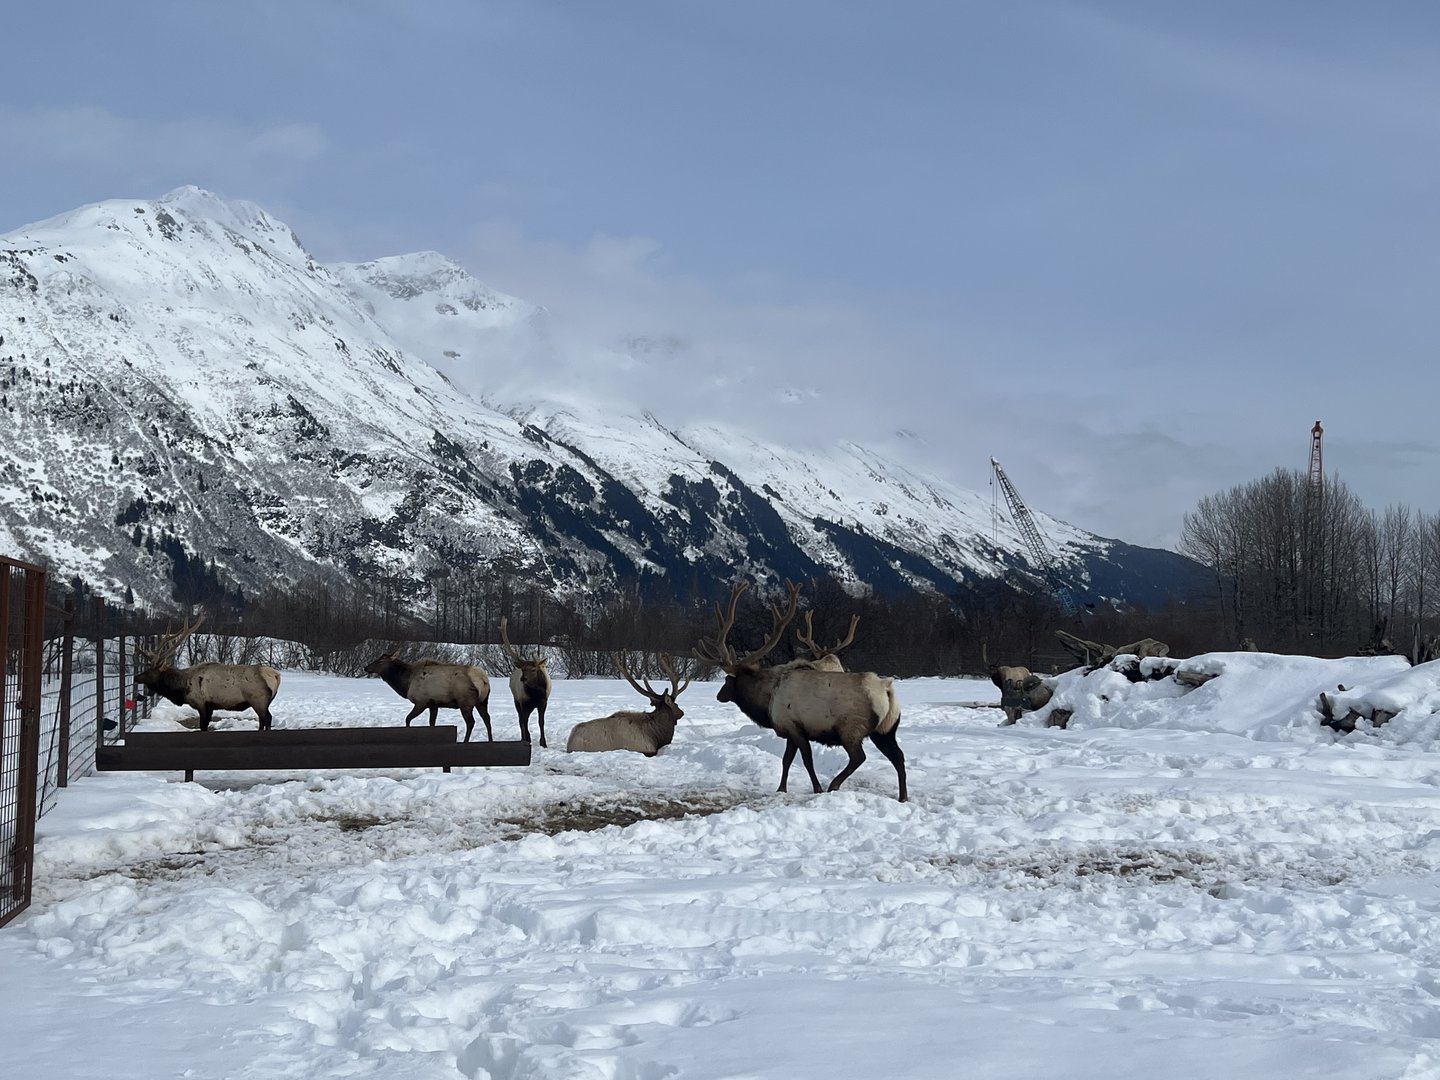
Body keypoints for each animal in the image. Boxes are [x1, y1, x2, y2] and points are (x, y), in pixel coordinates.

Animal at [136, 616, 281, 731]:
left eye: (150, 671)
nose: (136, 677)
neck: (182, 688)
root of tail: (276, 676)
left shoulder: (202, 703)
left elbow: (203, 727)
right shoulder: (210, 706)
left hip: (259, 700)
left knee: (267, 719)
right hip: (263, 701)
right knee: (263, 721)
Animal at [363, 652, 493, 742]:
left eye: (380, 661)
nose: (366, 667)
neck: (406, 683)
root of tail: (483, 679)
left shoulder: (421, 702)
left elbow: (407, 719)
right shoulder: (433, 705)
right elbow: (431, 723)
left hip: (465, 702)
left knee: (471, 722)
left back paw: (465, 741)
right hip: (482, 701)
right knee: (487, 718)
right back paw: (490, 740)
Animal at [500, 616, 552, 747]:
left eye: (533, 669)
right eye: (523, 669)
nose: (523, 679)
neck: (535, 693)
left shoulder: (543, 701)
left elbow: (541, 721)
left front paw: (543, 742)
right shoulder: (523, 701)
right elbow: (524, 721)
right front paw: (526, 739)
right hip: (516, 700)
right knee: (521, 720)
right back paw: (525, 737)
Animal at [696, 581, 907, 801]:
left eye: (727, 680)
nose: (719, 695)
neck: (767, 702)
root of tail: (887, 690)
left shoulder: (793, 726)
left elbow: (806, 759)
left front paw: (817, 788)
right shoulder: (791, 731)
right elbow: (786, 760)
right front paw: (781, 788)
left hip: (851, 728)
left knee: (859, 757)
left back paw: (834, 784)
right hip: (885, 730)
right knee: (898, 756)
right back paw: (903, 797)